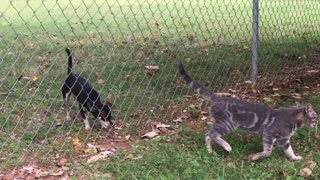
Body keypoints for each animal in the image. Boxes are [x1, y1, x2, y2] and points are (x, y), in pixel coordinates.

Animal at [178, 61, 318, 160]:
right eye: (315, 117)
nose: (317, 124)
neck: (294, 119)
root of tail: (217, 97)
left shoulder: (284, 140)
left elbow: (289, 151)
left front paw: (294, 158)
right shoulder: (269, 133)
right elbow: (268, 152)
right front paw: (255, 157)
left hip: (221, 123)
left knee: (207, 135)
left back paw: (210, 151)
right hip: (227, 124)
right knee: (212, 134)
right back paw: (227, 147)